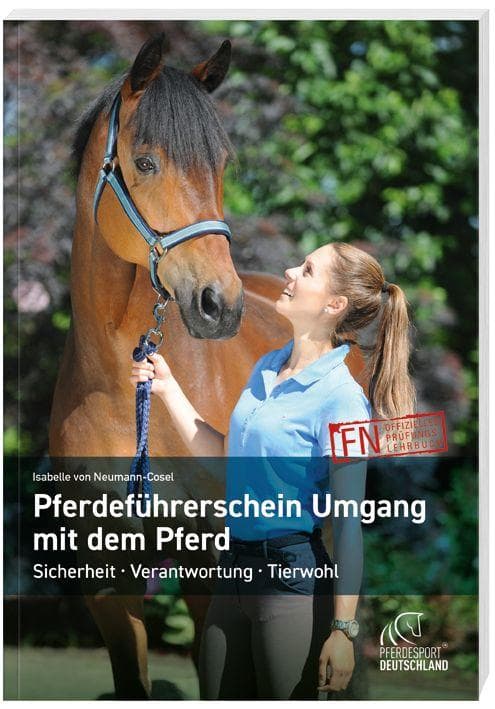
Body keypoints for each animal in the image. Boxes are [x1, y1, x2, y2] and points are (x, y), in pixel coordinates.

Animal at [49, 34, 366, 699]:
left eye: (220, 165)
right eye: (145, 162)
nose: (220, 305)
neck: (121, 398)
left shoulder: (213, 562)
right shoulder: (106, 581)